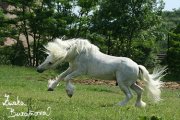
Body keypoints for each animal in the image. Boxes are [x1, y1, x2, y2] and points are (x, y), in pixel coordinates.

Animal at [36, 38, 166, 107]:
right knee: (140, 91)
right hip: (131, 83)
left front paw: (70, 93)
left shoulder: (80, 71)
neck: (78, 53)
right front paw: (51, 87)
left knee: (130, 95)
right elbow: (61, 76)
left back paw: (118, 105)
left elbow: (67, 78)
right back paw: (139, 105)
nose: (38, 69)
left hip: (123, 83)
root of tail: (137, 66)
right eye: (47, 58)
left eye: (50, 63)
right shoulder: (72, 68)